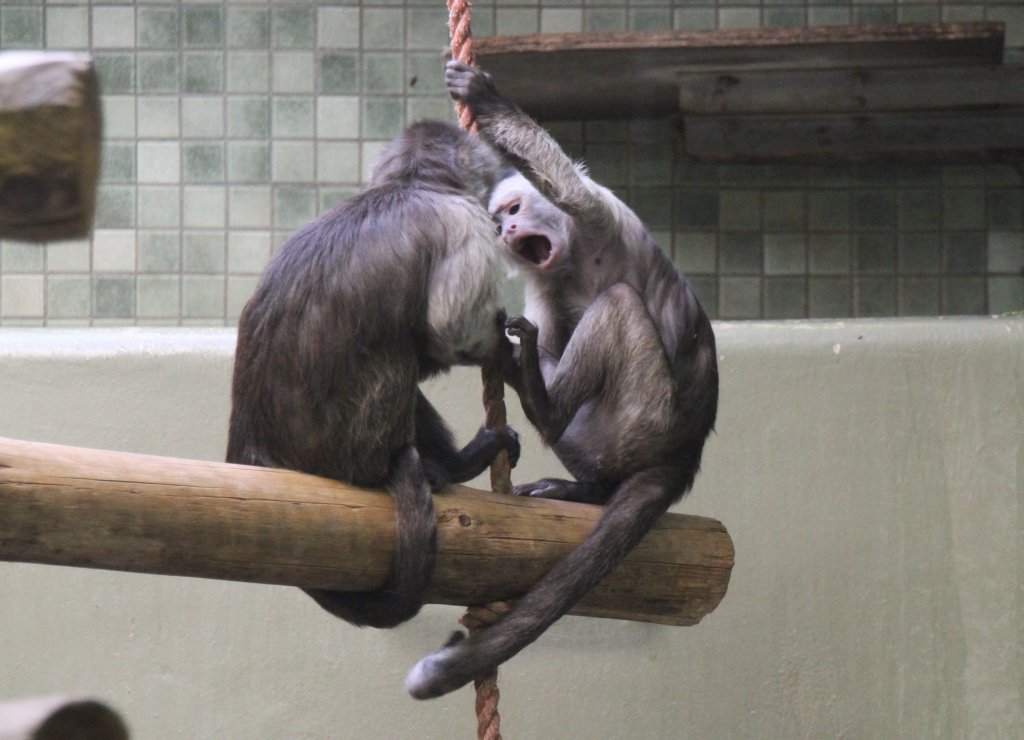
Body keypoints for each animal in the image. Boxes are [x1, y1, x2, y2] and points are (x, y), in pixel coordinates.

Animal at [403, 63, 716, 700]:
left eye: (513, 208)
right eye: (498, 219)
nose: (507, 229)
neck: (575, 255)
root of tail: (685, 450)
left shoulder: (599, 210)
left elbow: (566, 185)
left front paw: (487, 98)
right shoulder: (545, 279)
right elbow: (544, 342)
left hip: (642, 418)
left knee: (619, 302)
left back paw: (542, 404)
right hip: (607, 435)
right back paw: (588, 484)